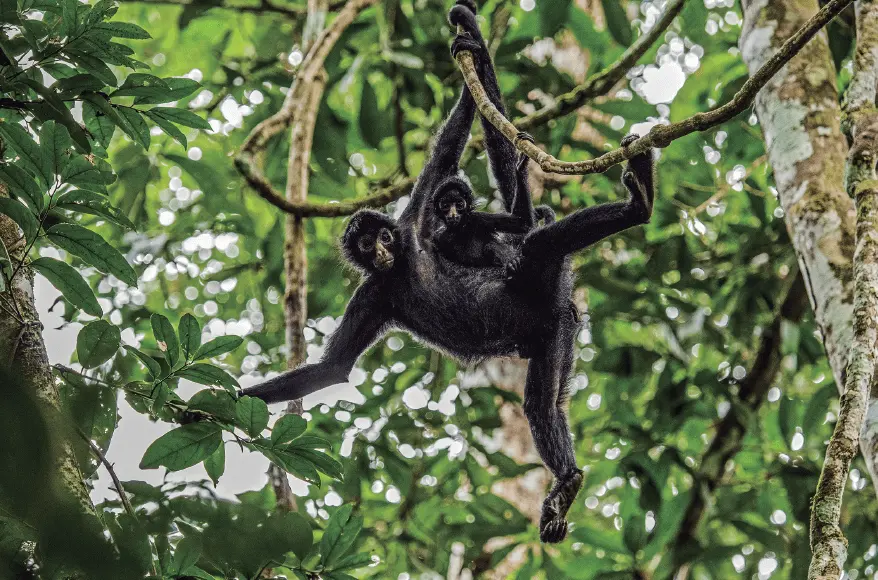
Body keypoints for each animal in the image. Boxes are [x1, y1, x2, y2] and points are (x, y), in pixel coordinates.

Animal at [244, 1, 656, 544]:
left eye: (381, 238)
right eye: (363, 245)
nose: (379, 250)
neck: (404, 264)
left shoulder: (415, 221)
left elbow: (449, 145)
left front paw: (469, 51)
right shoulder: (375, 289)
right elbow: (332, 369)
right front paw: (204, 405)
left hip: (535, 286)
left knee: (541, 245)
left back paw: (641, 203)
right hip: (556, 334)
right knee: (545, 404)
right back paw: (565, 482)